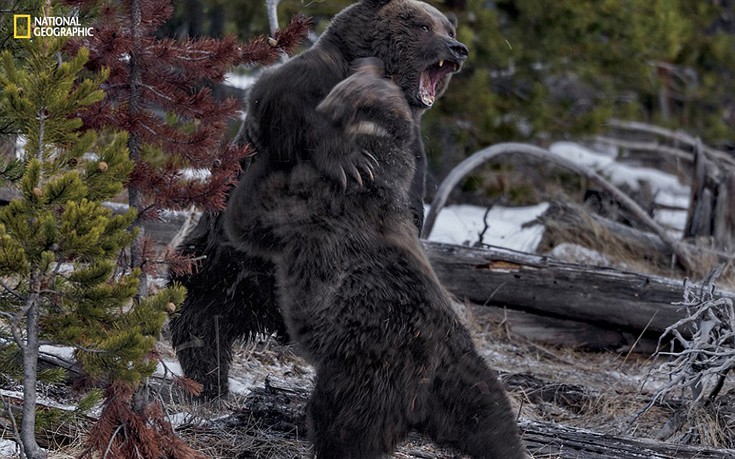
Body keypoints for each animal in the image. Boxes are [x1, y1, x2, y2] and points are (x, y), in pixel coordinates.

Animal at [170, 0, 468, 398]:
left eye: (447, 29)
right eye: (423, 26)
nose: (457, 48)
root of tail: (264, 312)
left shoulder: (412, 142)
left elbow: (411, 182)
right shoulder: (308, 81)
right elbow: (285, 102)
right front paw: (351, 163)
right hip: (217, 261)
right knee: (198, 318)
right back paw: (207, 382)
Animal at [224, 58, 528, 459]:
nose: (371, 63)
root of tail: (420, 398)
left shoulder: (312, 206)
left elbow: (251, 216)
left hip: (364, 375)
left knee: (340, 427)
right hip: (465, 380)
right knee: (494, 420)